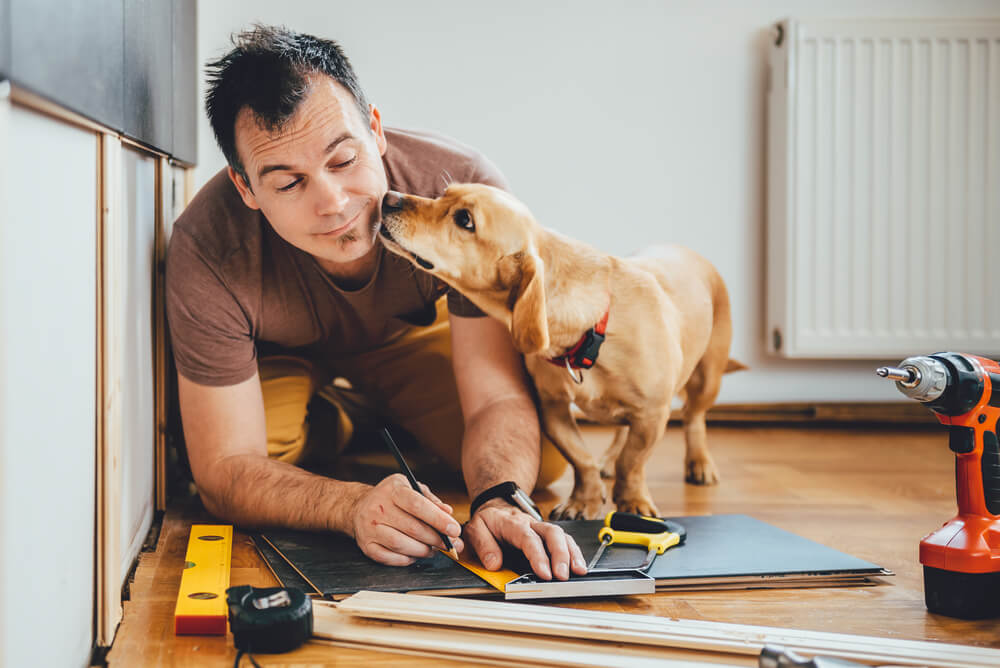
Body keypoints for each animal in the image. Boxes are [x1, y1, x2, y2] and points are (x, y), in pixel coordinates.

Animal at [378, 184, 740, 520]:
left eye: (464, 219)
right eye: (443, 194)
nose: (388, 198)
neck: (594, 330)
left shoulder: (653, 413)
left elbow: (633, 463)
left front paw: (632, 501)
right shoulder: (553, 409)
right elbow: (582, 459)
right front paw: (584, 500)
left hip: (707, 379)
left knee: (693, 417)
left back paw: (699, 463)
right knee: (621, 431)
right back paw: (609, 459)